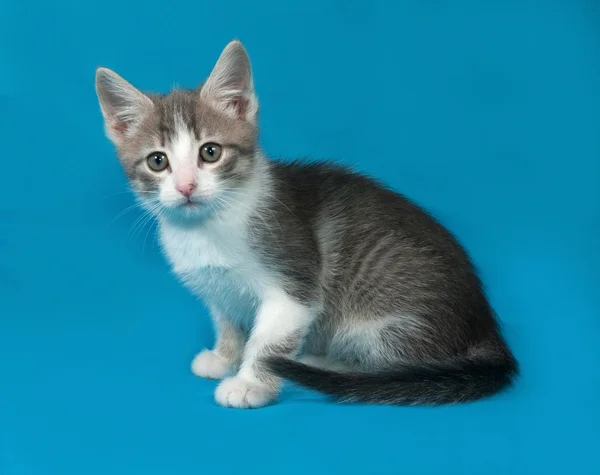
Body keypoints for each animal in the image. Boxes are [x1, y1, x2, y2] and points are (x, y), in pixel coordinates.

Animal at [94, 40, 516, 410]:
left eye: (210, 152)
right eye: (158, 161)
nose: (186, 187)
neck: (208, 227)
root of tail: (486, 327)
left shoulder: (294, 286)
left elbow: (268, 343)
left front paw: (250, 384)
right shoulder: (217, 287)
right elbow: (227, 320)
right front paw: (225, 356)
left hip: (381, 322)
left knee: (397, 371)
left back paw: (322, 365)